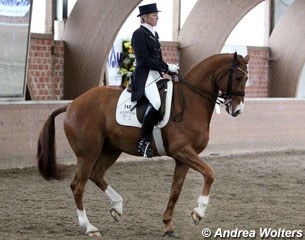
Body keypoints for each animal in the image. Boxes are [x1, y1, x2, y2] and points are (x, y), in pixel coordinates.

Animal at [36, 52, 248, 236]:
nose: (238, 110)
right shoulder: (182, 151)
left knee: (96, 175)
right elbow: (210, 174)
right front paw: (198, 212)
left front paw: (168, 225)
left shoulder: (183, 158)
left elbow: (175, 191)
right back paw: (89, 227)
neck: (191, 102)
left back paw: (117, 206)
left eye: (246, 78)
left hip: (111, 149)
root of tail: (72, 104)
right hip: (87, 153)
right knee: (78, 185)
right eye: (238, 77)